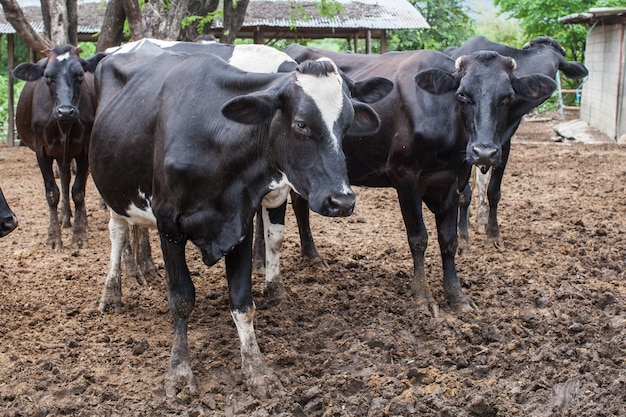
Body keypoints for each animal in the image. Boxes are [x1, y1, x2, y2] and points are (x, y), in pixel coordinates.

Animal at [13, 44, 105, 250]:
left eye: (79, 75)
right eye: (47, 76)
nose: (65, 111)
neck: (64, 125)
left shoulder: (84, 149)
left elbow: (78, 192)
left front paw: (79, 236)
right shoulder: (41, 151)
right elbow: (52, 192)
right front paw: (53, 237)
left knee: (70, 179)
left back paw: (80, 218)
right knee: (63, 177)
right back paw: (64, 216)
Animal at [88, 41, 390, 396]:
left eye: (348, 124)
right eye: (301, 124)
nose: (342, 200)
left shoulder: (240, 221)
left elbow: (244, 301)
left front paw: (257, 368)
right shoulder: (169, 225)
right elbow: (181, 298)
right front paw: (179, 371)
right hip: (114, 190)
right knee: (118, 231)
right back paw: (113, 292)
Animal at [270, 44, 552, 316]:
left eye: (508, 97)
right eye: (462, 94)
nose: (484, 152)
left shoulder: (454, 180)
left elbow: (448, 240)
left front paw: (457, 296)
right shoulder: (404, 177)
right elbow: (418, 238)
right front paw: (422, 297)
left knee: (300, 203)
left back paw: (311, 255)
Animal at [442, 35, 588, 250]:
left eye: (507, 96)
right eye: (463, 95)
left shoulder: (503, 145)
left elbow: (493, 191)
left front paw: (493, 234)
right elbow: (463, 193)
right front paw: (462, 238)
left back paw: (480, 219)